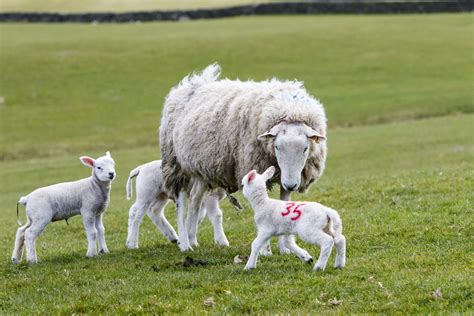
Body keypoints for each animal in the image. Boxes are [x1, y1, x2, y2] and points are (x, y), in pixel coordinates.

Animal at [159, 63, 326, 252]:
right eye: (277, 147)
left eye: (305, 148)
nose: (291, 184)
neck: (290, 107)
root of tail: (192, 83)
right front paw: (265, 251)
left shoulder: (286, 177)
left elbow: (284, 203)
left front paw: (285, 249)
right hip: (175, 165)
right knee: (181, 205)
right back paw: (185, 244)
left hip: (201, 168)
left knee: (195, 200)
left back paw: (192, 239)